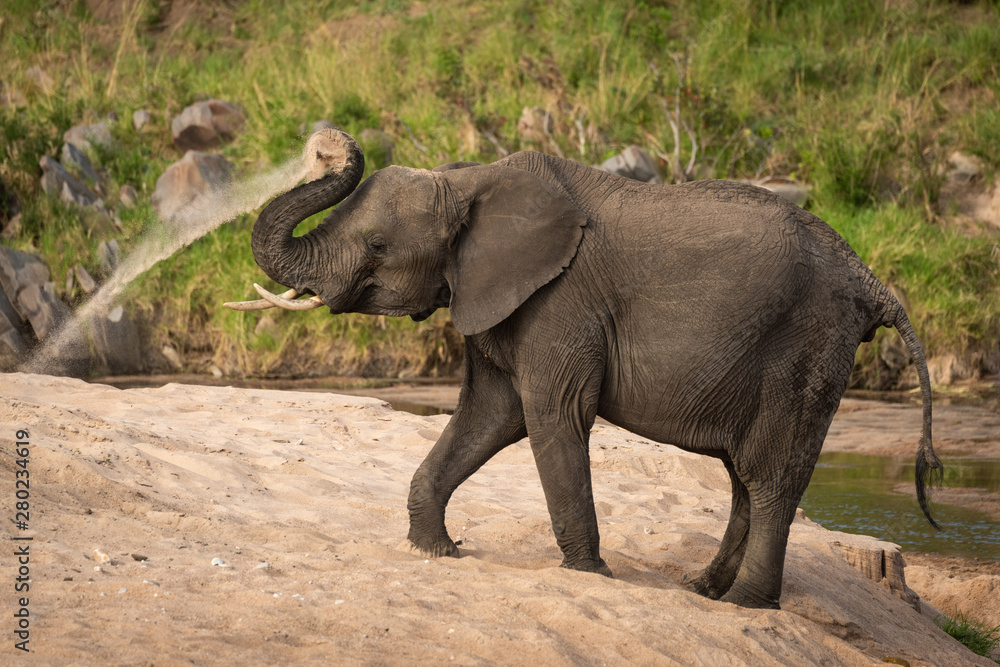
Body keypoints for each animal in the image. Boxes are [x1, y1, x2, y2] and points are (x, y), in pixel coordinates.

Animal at [226, 128, 941, 609]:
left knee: (770, 478)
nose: (328, 144)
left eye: (377, 246)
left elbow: (552, 415)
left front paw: (588, 575)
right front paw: (437, 552)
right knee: (745, 479)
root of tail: (870, 279)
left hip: (806, 347)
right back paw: (704, 590)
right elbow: (490, 415)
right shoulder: (496, 293)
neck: (470, 181)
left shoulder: (561, 299)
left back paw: (744, 605)